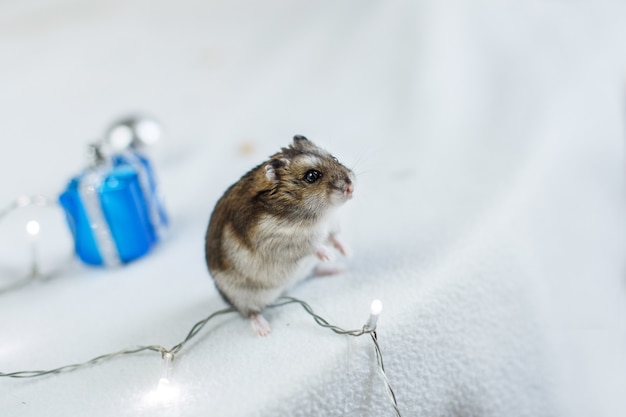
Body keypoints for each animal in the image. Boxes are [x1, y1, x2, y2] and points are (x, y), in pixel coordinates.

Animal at [204, 135, 354, 336]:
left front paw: (348, 253)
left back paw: (337, 268)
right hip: (242, 297)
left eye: (335, 158)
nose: (351, 187)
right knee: (250, 313)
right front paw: (329, 255)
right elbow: (311, 245)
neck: (319, 215)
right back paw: (264, 330)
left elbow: (334, 238)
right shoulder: (277, 242)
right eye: (312, 176)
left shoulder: (331, 225)